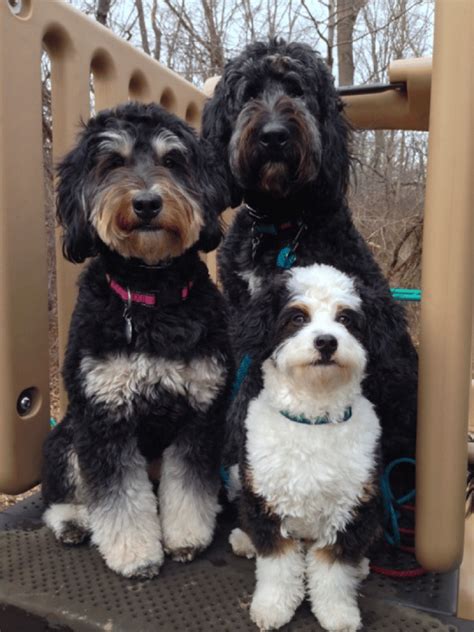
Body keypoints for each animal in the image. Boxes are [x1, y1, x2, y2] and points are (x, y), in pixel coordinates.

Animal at [42, 102, 233, 576]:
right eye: (113, 162)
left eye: (173, 160)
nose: (147, 202)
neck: (150, 297)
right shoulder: (103, 419)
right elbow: (119, 499)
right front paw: (135, 554)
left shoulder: (199, 414)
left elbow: (188, 486)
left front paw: (186, 538)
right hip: (66, 438)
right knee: (62, 496)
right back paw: (73, 521)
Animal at [230, 262, 382, 632]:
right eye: (298, 317)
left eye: (346, 319)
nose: (326, 341)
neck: (313, 421)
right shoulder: (266, 501)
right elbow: (278, 566)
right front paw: (273, 607)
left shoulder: (352, 508)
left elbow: (333, 572)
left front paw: (338, 613)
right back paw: (244, 540)